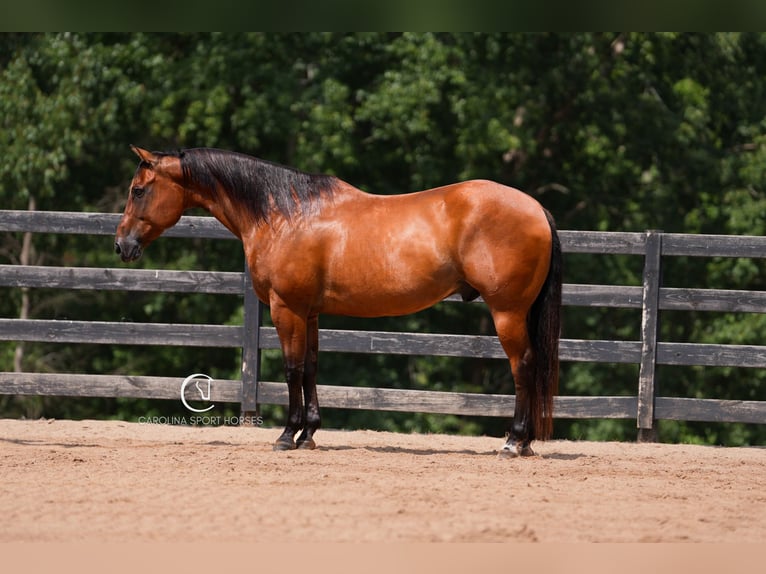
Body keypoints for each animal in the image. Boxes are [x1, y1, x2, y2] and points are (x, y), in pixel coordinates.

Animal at [115, 146, 562, 457]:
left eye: (138, 191)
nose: (121, 245)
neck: (285, 214)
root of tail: (536, 208)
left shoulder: (286, 309)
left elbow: (292, 369)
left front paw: (286, 435)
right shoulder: (310, 313)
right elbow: (311, 367)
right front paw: (309, 434)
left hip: (507, 312)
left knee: (523, 366)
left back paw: (514, 442)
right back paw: (523, 443)